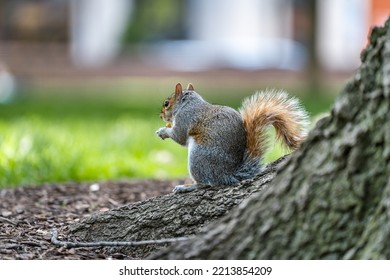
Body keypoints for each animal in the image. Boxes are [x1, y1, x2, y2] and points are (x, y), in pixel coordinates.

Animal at [155, 83, 308, 192]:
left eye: (166, 103)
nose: (161, 116)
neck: (188, 102)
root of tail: (228, 174)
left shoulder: (185, 118)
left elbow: (179, 136)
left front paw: (163, 131)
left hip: (198, 157)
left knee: (206, 183)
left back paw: (187, 187)